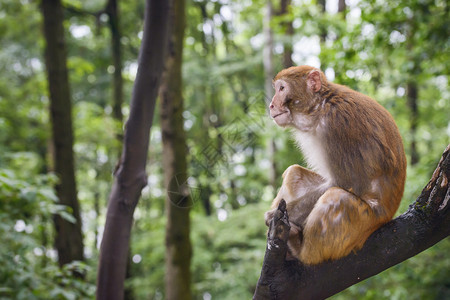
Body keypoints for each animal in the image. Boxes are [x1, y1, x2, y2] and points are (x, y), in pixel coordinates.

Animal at [264, 65, 408, 264]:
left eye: (282, 88)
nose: (271, 105)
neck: (320, 107)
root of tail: (388, 218)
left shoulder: (338, 124)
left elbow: (345, 183)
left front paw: (271, 217)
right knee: (294, 173)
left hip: (363, 224)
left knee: (337, 197)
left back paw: (301, 250)